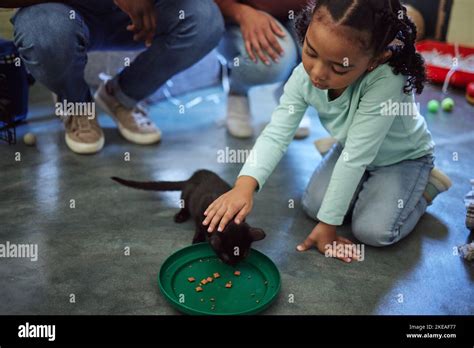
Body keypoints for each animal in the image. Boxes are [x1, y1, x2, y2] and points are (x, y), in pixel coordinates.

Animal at [112, 170, 264, 266]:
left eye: (244, 255)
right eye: (226, 256)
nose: (234, 265)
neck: (229, 220)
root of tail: (192, 177)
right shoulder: (200, 216)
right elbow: (199, 227)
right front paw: (198, 240)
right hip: (186, 195)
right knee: (184, 205)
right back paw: (180, 216)